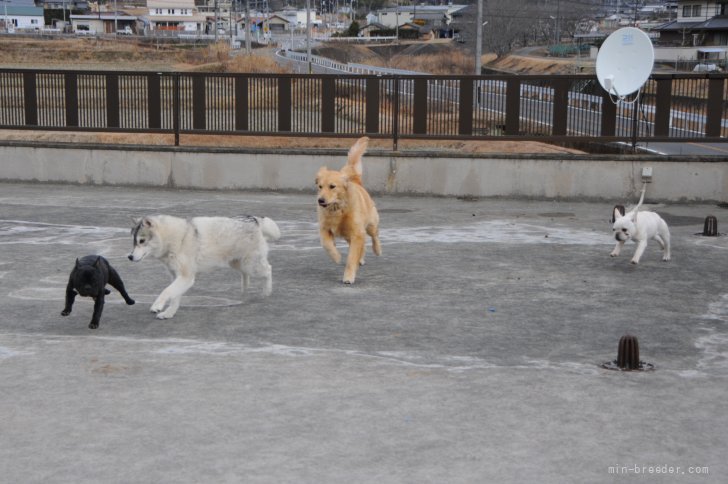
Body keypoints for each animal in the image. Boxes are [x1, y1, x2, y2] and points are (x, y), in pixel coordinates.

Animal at [129, 214, 280, 320]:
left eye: (142, 241)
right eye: (134, 242)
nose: (130, 257)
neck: (176, 239)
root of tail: (253, 219)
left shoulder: (186, 277)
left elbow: (166, 291)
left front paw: (157, 306)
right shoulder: (177, 277)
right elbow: (174, 297)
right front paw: (169, 313)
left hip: (251, 265)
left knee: (268, 269)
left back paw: (266, 291)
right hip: (237, 263)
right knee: (246, 274)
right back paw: (244, 288)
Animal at [314, 136, 382, 284]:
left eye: (332, 186)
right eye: (320, 186)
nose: (320, 200)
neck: (338, 208)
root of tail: (354, 178)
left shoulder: (357, 232)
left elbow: (351, 258)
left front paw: (349, 277)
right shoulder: (324, 228)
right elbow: (327, 245)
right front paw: (337, 257)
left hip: (370, 224)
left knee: (374, 236)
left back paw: (377, 250)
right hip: (348, 234)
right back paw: (360, 259)